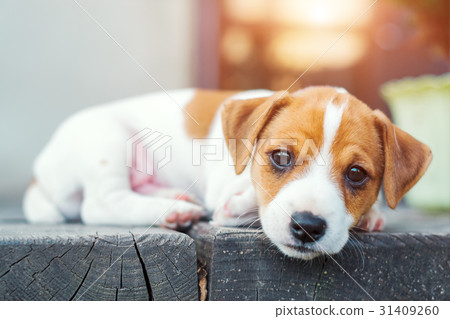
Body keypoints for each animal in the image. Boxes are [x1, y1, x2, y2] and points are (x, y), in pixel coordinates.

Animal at [22, 85, 430, 260]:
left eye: (357, 174)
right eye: (281, 157)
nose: (307, 227)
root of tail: (38, 174)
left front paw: (371, 214)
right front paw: (240, 203)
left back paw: (173, 200)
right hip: (106, 140)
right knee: (100, 204)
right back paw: (174, 210)